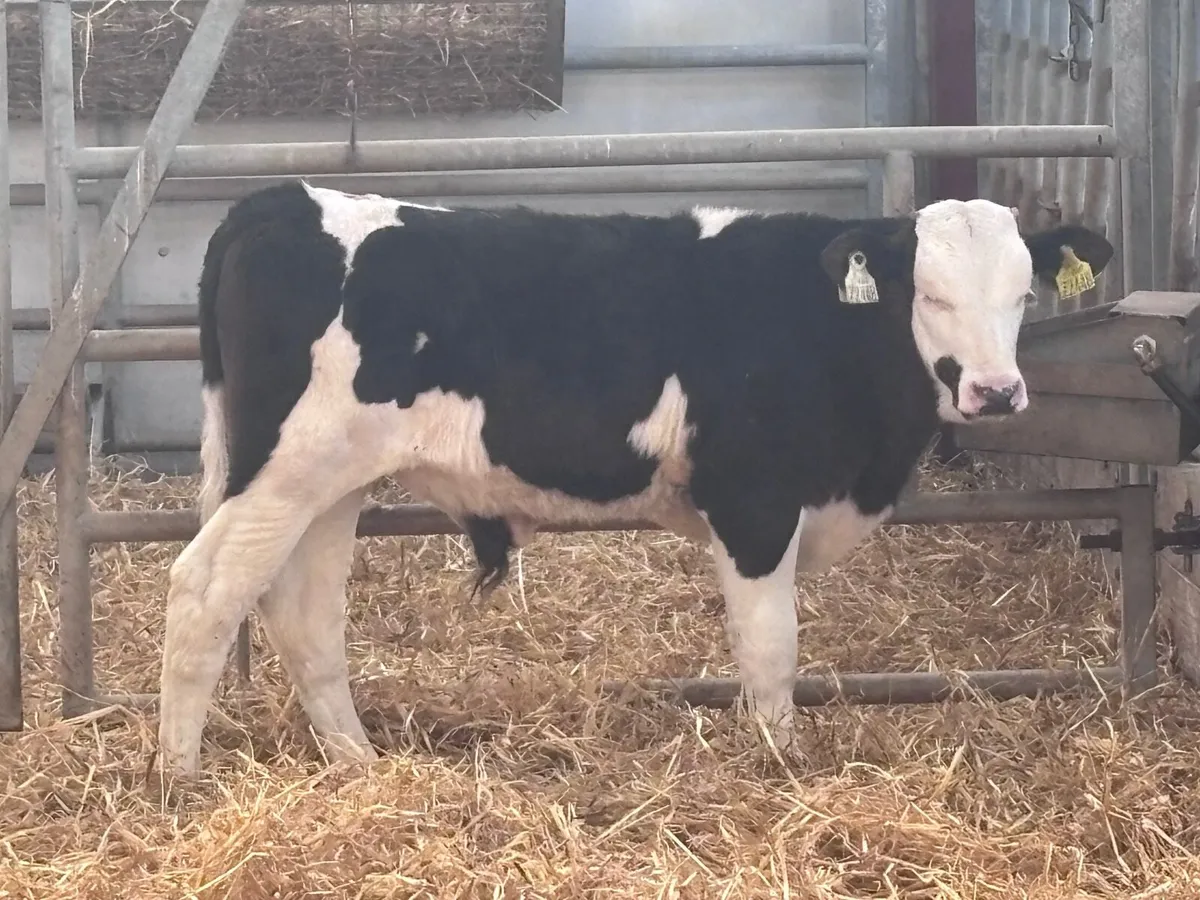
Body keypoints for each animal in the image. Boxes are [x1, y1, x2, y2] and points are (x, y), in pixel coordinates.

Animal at [157, 181, 1114, 775]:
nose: (996, 391)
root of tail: (278, 202)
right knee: (205, 588)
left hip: (333, 482)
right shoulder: (754, 501)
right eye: (930, 293)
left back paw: (359, 762)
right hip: (286, 467)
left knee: (304, 611)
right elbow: (770, 649)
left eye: (1024, 294)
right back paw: (180, 777)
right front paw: (780, 764)